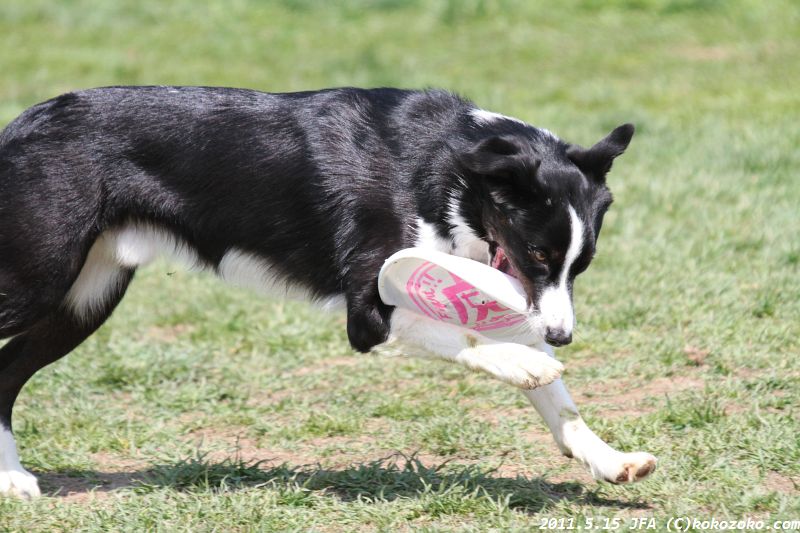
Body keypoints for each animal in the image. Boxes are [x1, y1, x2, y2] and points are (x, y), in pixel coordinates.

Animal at [0, 85, 656, 496]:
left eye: (580, 266)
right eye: (539, 254)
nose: (563, 336)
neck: (446, 170)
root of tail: (19, 125)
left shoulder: (507, 291)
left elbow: (559, 401)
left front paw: (608, 459)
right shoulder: (369, 312)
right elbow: (478, 342)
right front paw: (525, 365)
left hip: (84, 300)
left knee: (7, 373)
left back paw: (12, 479)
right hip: (38, 277)